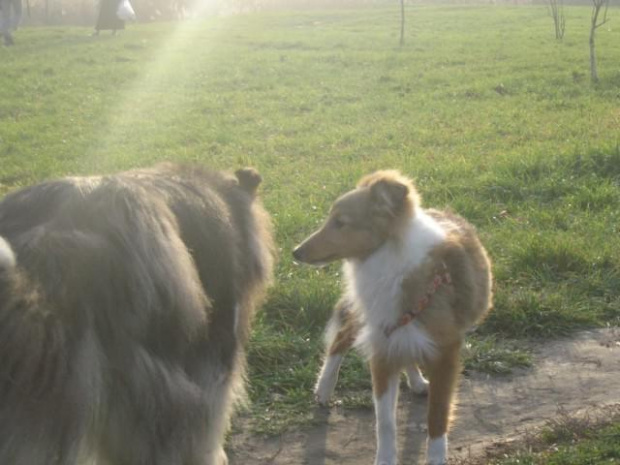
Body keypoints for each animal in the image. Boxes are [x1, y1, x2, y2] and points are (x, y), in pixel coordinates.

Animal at [294, 170, 492, 464]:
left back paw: (417, 381)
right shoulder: (381, 350)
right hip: (370, 323)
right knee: (340, 338)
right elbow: (385, 422)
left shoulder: (445, 355)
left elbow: (437, 418)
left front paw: (436, 458)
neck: (389, 260)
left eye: (340, 222)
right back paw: (324, 388)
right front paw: (385, 459)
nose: (295, 252)